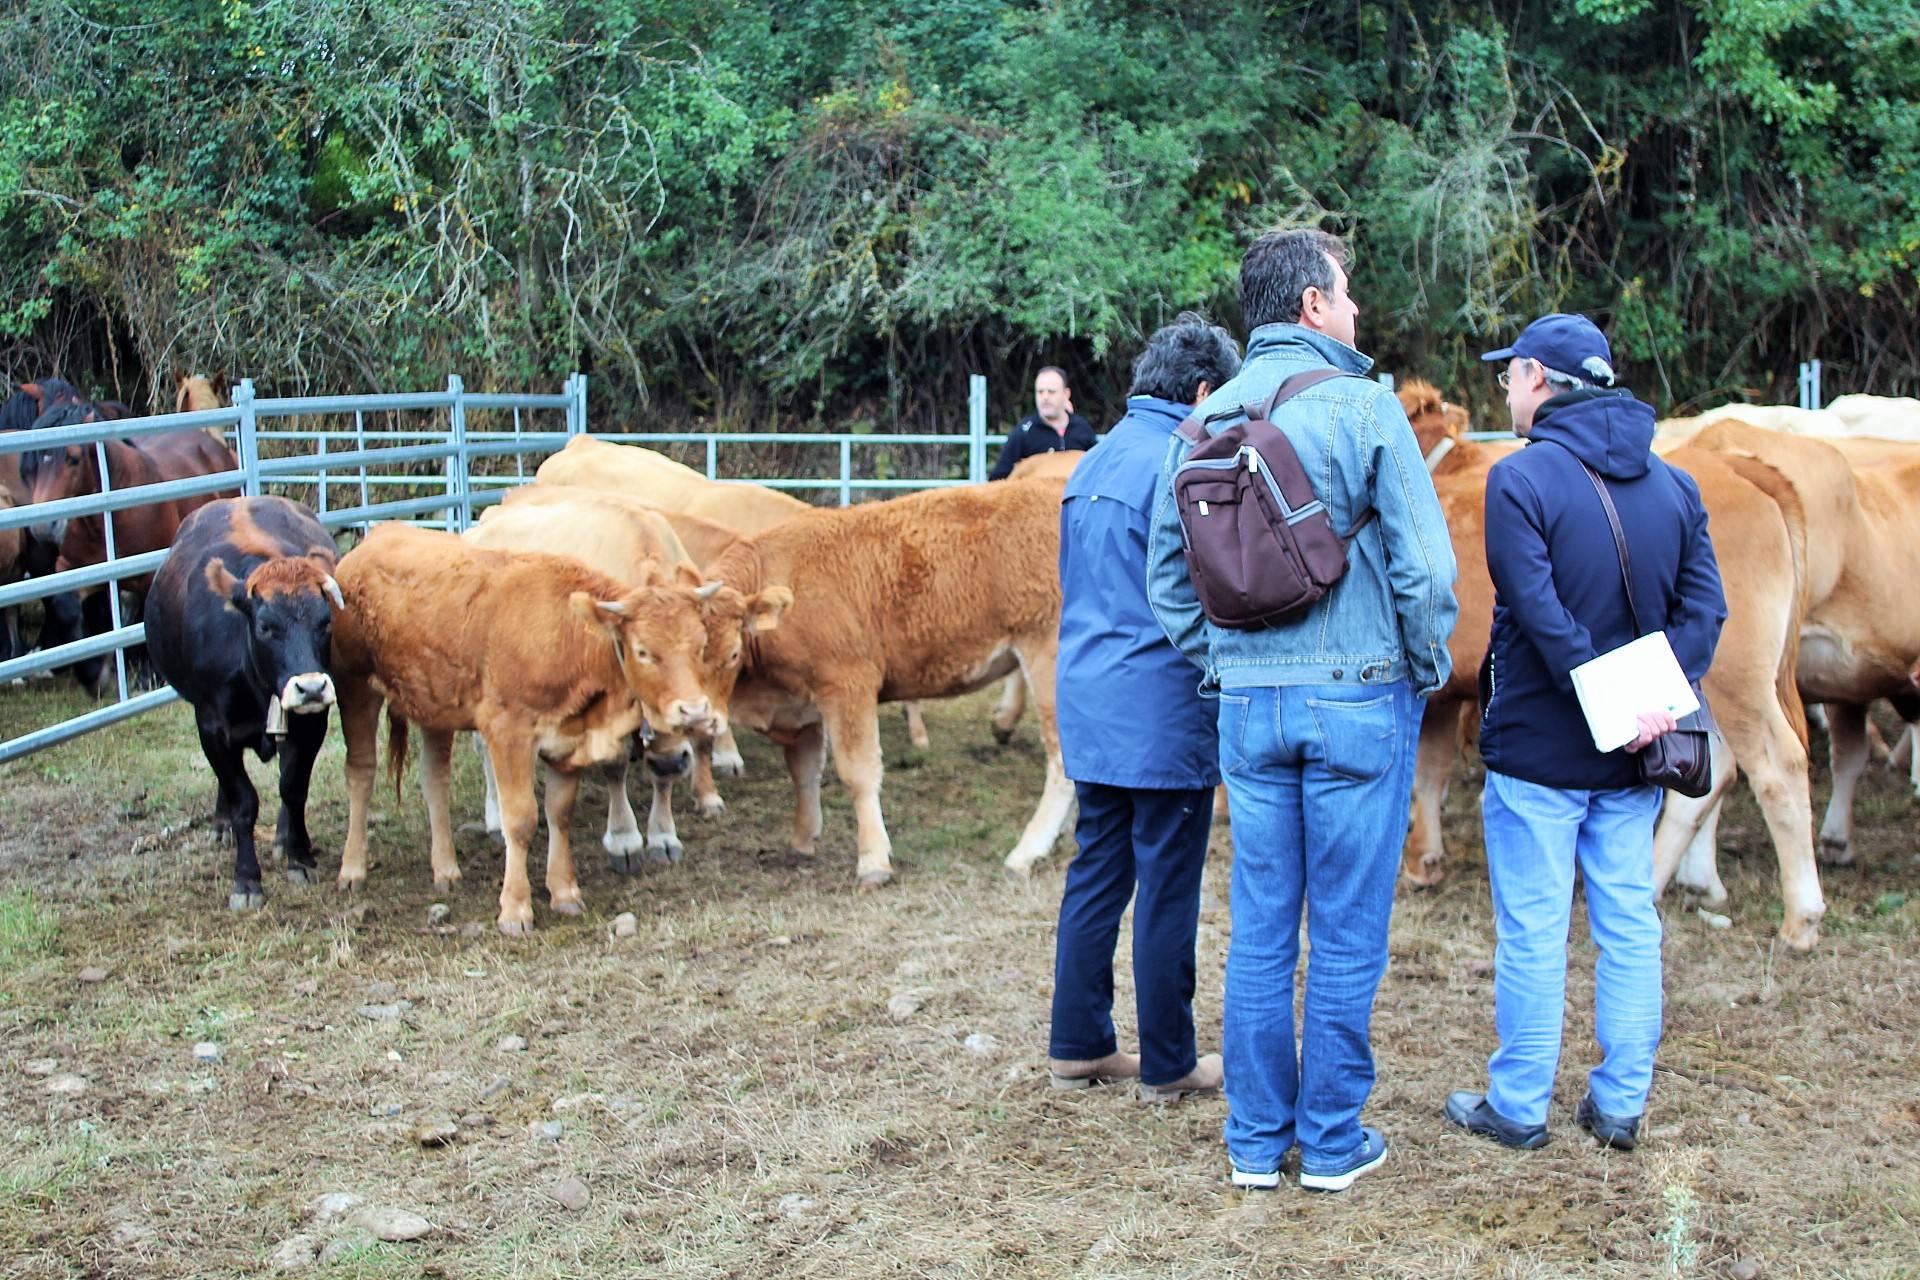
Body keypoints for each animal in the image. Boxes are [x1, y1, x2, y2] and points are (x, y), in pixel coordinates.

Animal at [326, 525, 721, 936]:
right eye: (643, 651)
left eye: (701, 645)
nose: (694, 710)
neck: (568, 637)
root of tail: (377, 535)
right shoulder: (508, 732)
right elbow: (520, 819)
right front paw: (515, 909)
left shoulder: (569, 738)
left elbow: (559, 812)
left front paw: (564, 892)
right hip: (354, 686)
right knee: (361, 772)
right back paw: (353, 869)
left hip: (435, 704)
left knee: (435, 779)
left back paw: (446, 868)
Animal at [706, 475, 1075, 886]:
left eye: (731, 653)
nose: (695, 712)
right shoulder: (802, 704)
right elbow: (804, 772)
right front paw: (802, 841)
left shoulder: (848, 684)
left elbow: (858, 772)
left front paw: (873, 862)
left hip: (1048, 660)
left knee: (1064, 764)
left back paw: (1026, 852)